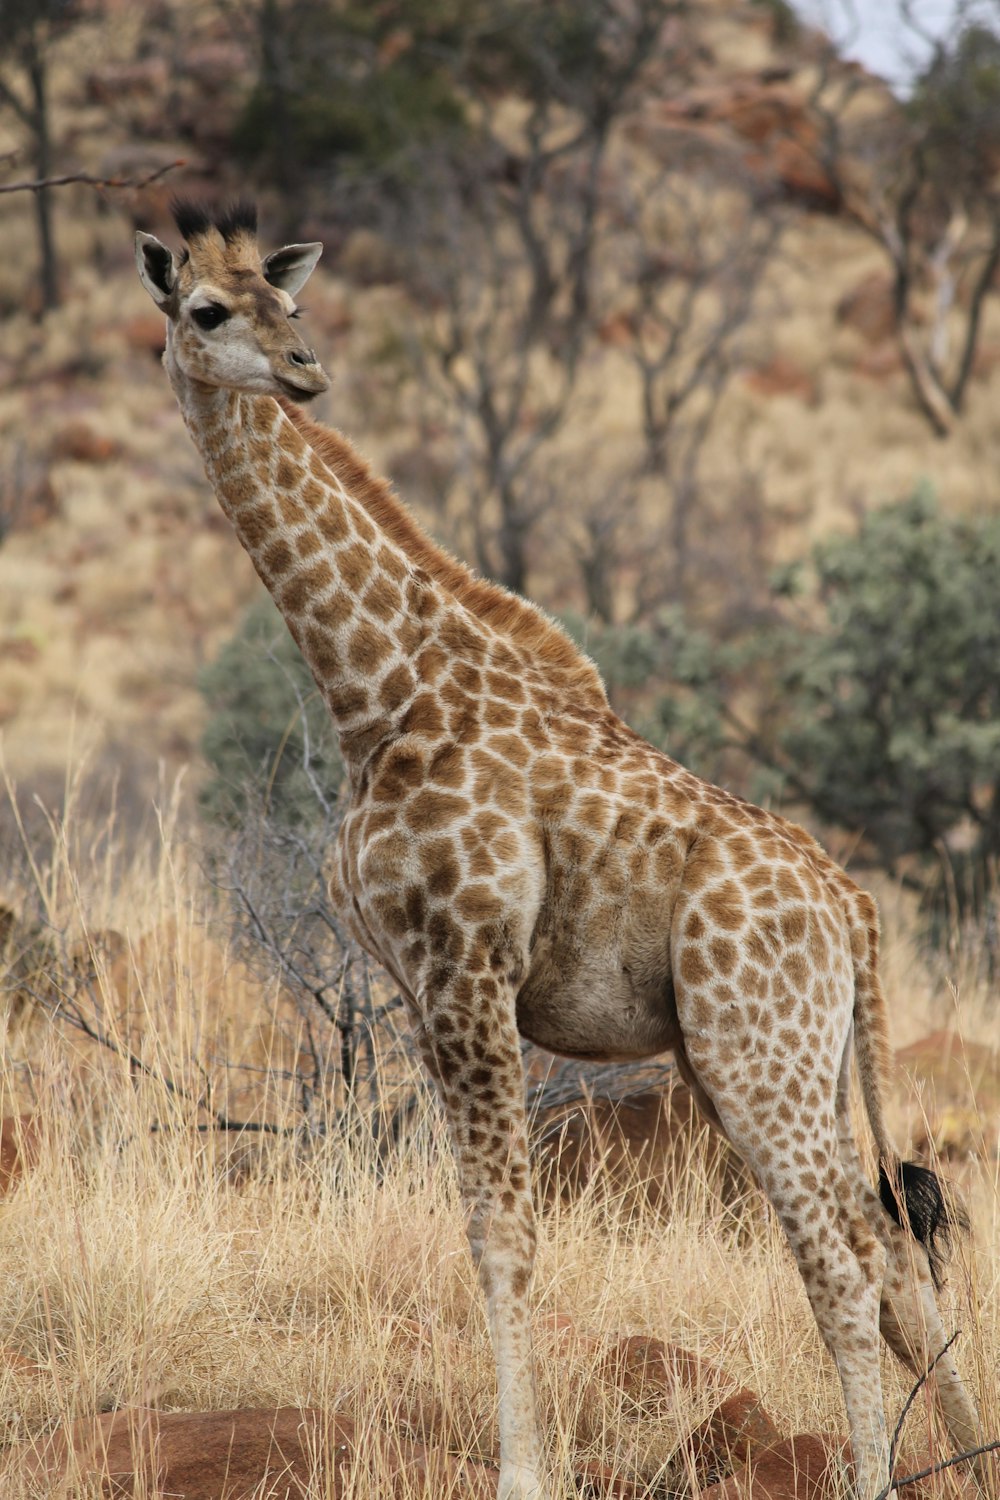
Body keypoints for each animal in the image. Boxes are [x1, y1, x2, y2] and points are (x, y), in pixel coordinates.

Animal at [134, 202, 995, 1500]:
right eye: (209, 309)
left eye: (288, 304)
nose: (304, 369)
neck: (374, 693)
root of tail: (853, 909)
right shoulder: (418, 989)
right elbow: (478, 1227)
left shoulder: (468, 965)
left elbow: (506, 1236)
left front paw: (521, 1477)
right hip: (779, 1059)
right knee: (890, 1245)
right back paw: (959, 1460)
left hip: (753, 1053)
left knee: (843, 1257)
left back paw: (869, 1478)